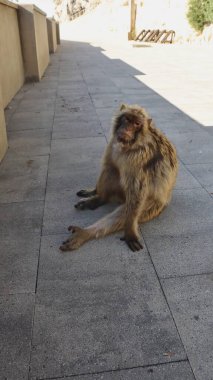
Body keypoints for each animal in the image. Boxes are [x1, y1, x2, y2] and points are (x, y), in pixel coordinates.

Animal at [60, 104, 178, 252]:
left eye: (137, 124)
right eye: (127, 119)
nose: (127, 129)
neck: (128, 146)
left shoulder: (140, 156)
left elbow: (137, 191)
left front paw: (130, 231)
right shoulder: (112, 142)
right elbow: (108, 164)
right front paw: (95, 191)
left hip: (153, 207)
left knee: (128, 208)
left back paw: (86, 233)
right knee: (111, 170)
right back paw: (100, 198)